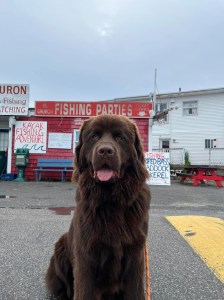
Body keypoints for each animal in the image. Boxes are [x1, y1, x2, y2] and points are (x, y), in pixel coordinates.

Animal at [45, 115, 150, 300]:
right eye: (94, 137)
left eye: (120, 138)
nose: (105, 151)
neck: (110, 200)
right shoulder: (86, 255)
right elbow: (84, 291)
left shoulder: (135, 254)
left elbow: (135, 291)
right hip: (60, 248)